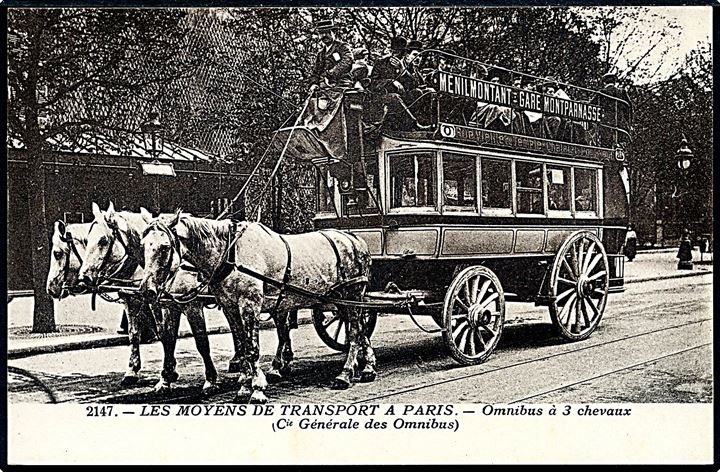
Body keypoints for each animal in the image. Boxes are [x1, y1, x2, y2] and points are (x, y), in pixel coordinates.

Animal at [76, 201, 219, 392]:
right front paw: (136, 372)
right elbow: (142, 335)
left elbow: (198, 341)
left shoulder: (190, 305)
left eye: (103, 240)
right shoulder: (141, 302)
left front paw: (207, 379)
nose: (83, 277)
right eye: (87, 239)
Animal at [141, 212, 376, 404]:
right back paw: (367, 367)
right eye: (143, 246)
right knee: (359, 331)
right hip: (342, 301)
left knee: (355, 332)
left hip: (353, 294)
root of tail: (356, 239)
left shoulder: (247, 304)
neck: (231, 254)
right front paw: (245, 386)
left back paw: (345, 373)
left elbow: (249, 348)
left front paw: (256, 389)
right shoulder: (229, 307)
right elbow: (242, 345)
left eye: (165, 247)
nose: (147, 290)